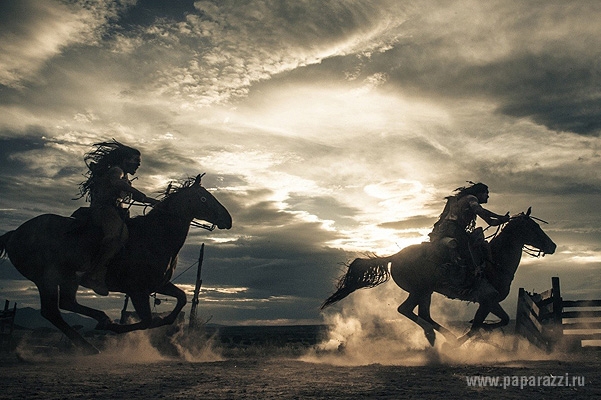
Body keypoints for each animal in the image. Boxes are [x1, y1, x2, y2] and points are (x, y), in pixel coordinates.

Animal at [0, 174, 231, 354]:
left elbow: (181, 299)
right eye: (204, 198)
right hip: (46, 279)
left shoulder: (159, 285)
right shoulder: (137, 290)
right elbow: (147, 320)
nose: (228, 219)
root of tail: (14, 234)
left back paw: (95, 333)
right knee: (52, 311)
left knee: (64, 304)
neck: (154, 235)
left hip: (66, 279)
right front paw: (118, 328)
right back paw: (94, 338)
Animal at [322, 209, 556, 346]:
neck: (494, 261)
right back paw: (440, 336)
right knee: (407, 310)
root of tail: (395, 256)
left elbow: (494, 321)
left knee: (421, 313)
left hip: (426, 292)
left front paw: (479, 334)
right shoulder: (487, 299)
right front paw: (469, 338)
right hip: (420, 290)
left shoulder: (489, 302)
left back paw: (437, 336)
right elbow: (483, 324)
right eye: (534, 228)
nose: (553, 246)